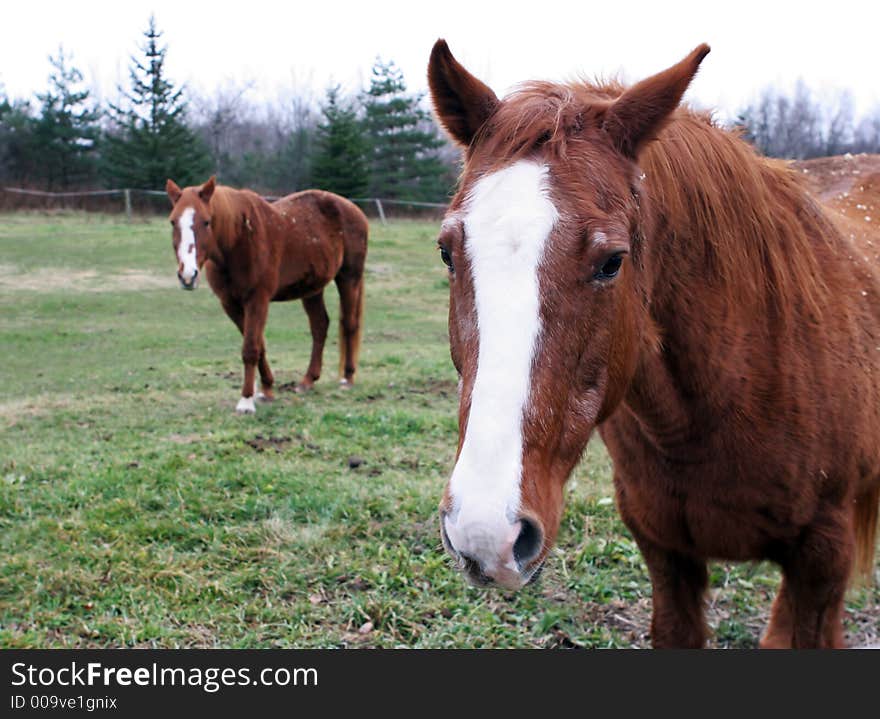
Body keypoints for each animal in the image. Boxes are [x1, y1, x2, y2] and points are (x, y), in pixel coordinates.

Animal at [165, 177, 368, 414]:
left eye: (206, 222)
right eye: (173, 222)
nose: (187, 275)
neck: (239, 240)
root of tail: (353, 208)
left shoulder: (257, 300)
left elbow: (251, 348)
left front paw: (246, 401)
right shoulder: (231, 304)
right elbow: (259, 345)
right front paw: (266, 390)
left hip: (349, 277)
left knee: (350, 324)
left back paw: (347, 378)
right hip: (312, 289)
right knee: (320, 326)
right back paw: (308, 380)